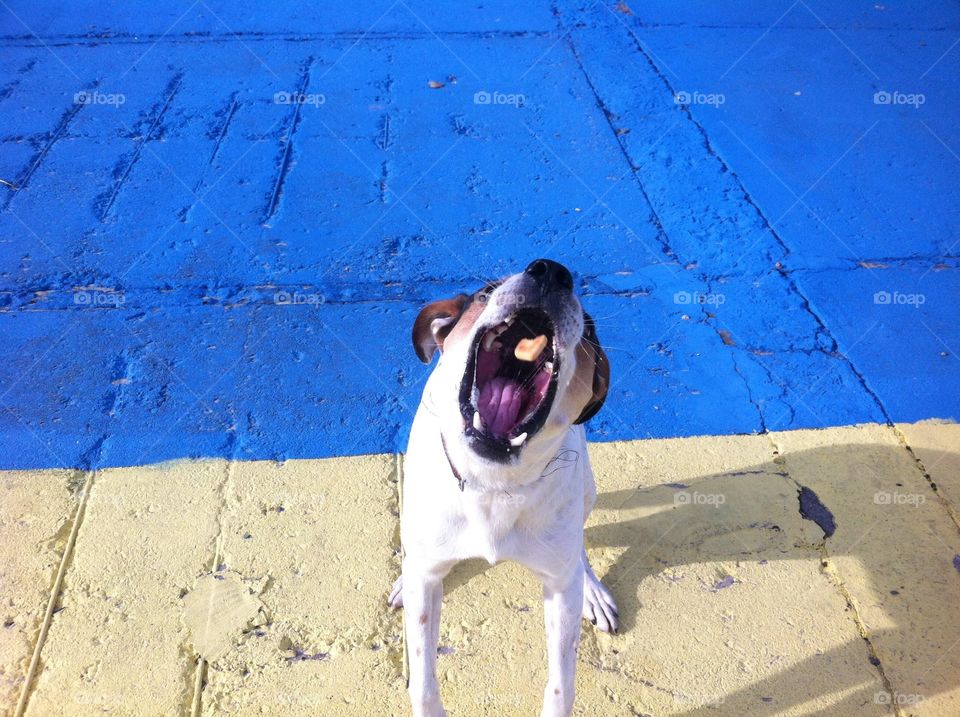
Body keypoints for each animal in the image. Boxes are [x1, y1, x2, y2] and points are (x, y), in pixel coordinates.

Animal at [388, 258, 620, 716]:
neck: (493, 483)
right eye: (483, 294)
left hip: (587, 489)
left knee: (578, 550)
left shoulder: (558, 591)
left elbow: (562, 686)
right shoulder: (427, 586)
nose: (551, 271)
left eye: (589, 329)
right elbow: (422, 681)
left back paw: (591, 588)